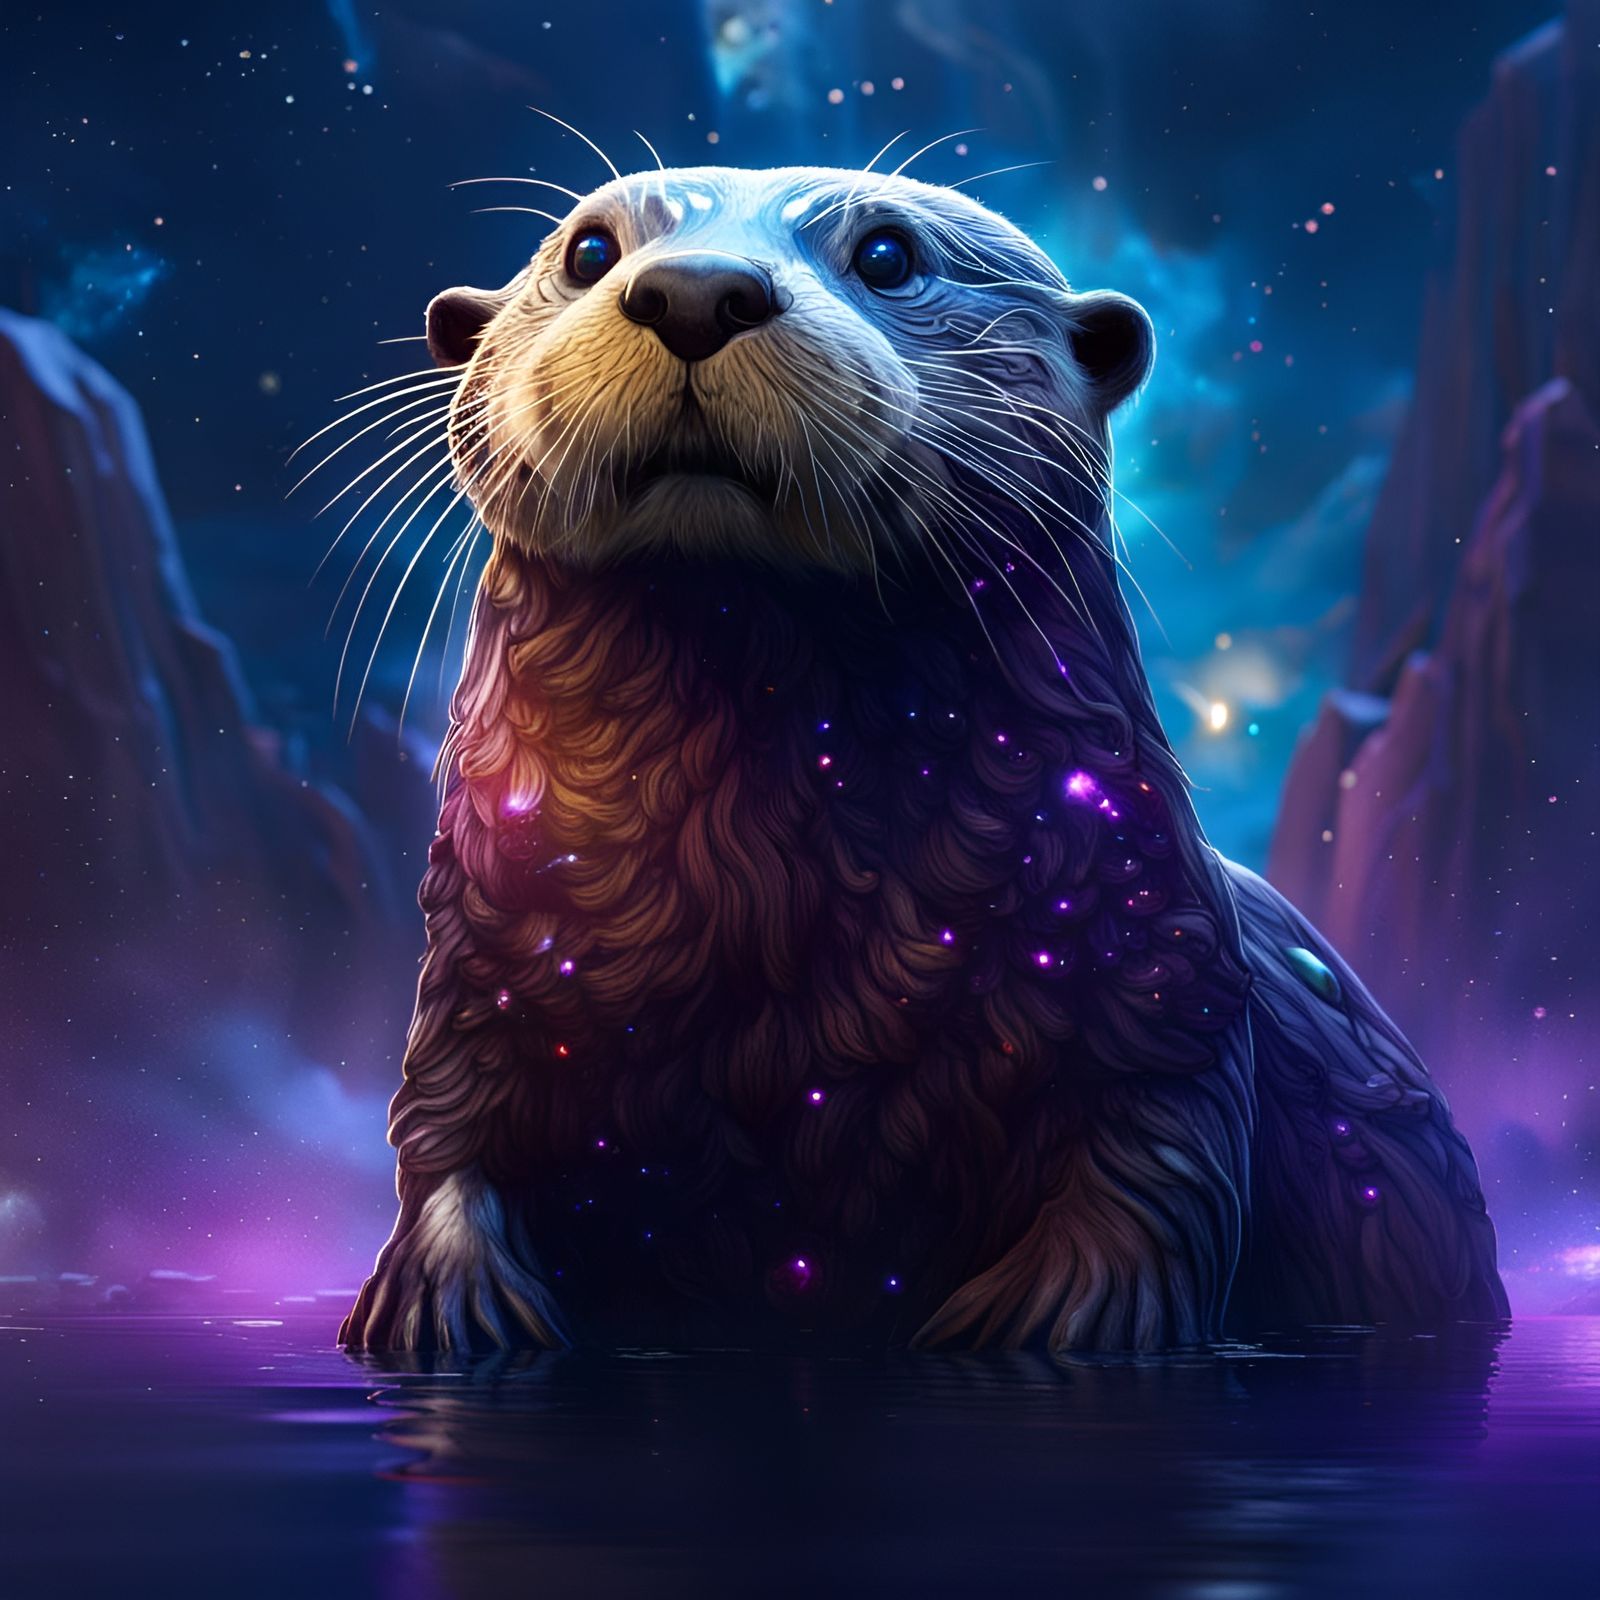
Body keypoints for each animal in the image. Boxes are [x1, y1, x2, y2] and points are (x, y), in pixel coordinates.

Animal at [338, 165, 1507, 1354]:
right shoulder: (482, 961)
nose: (696, 290)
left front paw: (1046, 1318)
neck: (774, 909)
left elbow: (1155, 1160)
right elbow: (443, 1126)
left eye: (890, 254)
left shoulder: (1155, 957)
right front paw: (443, 1301)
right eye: (586, 251)